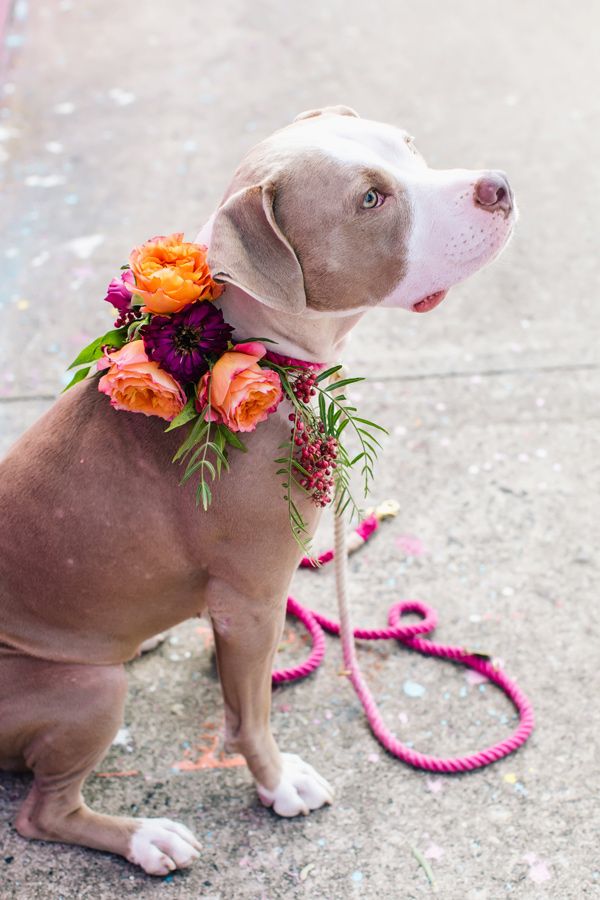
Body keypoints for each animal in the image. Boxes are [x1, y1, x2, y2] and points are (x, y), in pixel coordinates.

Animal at [0, 105, 516, 872]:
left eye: (410, 147)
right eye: (370, 199)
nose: (499, 186)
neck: (254, 347)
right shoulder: (253, 600)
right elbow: (249, 719)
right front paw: (277, 785)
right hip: (85, 689)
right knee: (43, 811)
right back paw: (146, 837)